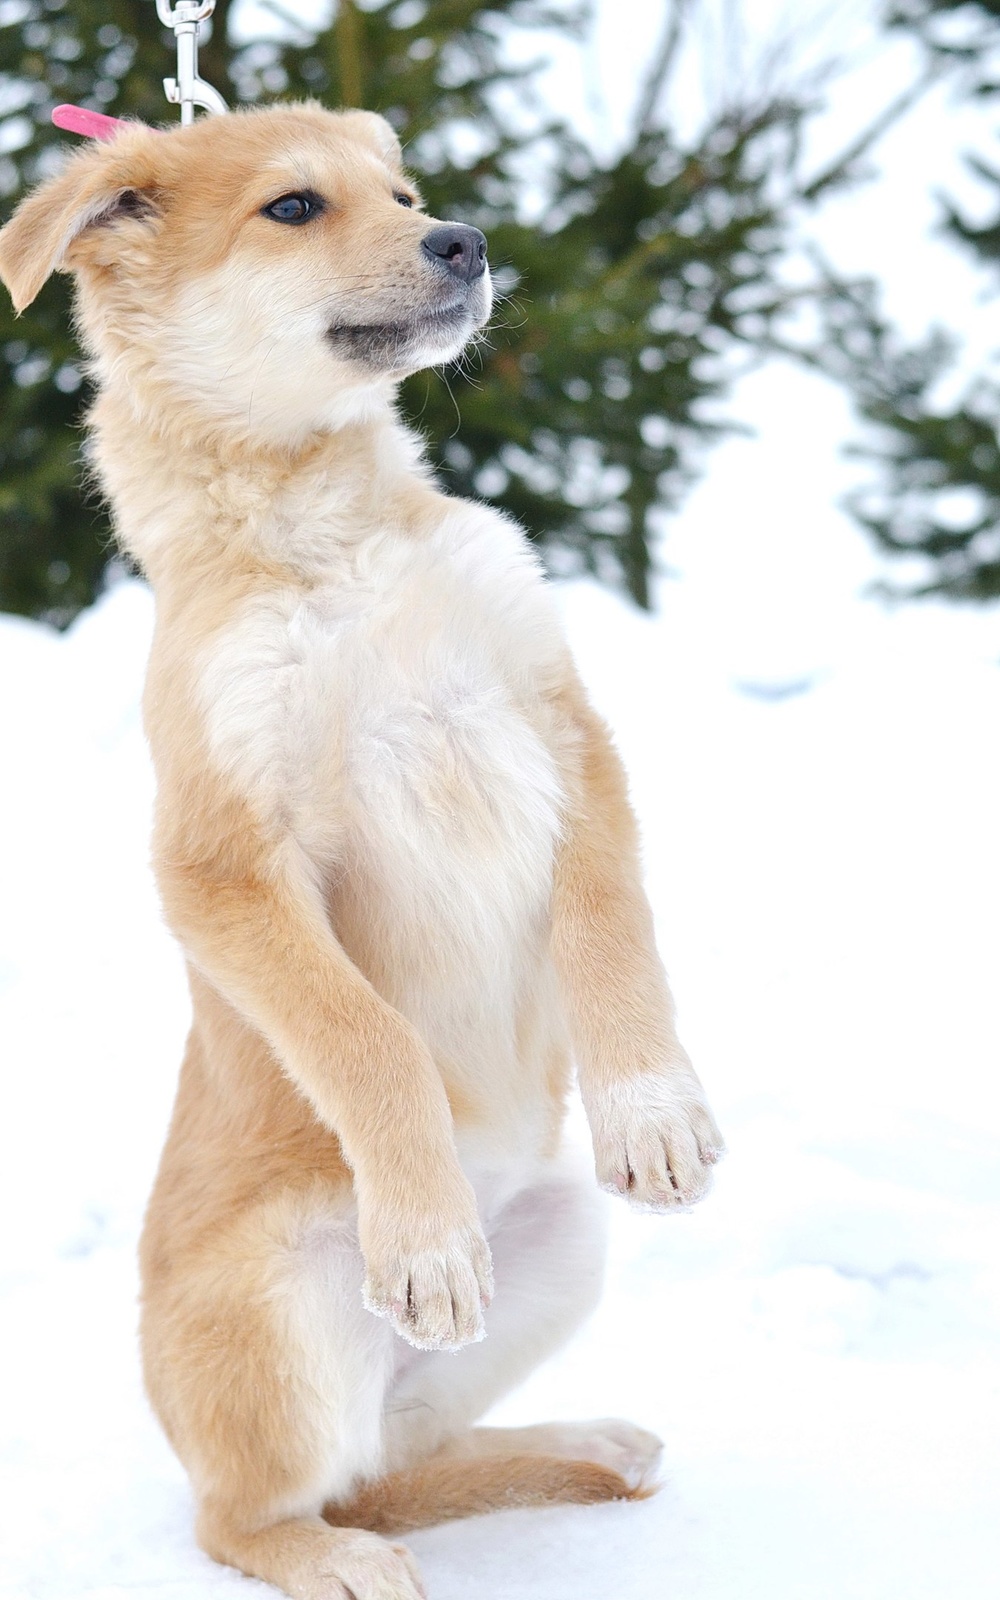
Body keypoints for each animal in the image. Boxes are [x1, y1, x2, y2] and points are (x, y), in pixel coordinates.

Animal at [0, 103, 720, 1600]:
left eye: (401, 191)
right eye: (292, 207)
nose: (469, 240)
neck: (327, 541)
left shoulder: (560, 728)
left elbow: (610, 928)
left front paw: (651, 1110)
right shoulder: (222, 863)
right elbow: (368, 1038)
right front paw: (428, 1228)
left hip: (562, 1250)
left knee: (397, 1462)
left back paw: (581, 1445)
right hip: (287, 1310)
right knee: (258, 1513)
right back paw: (338, 1555)